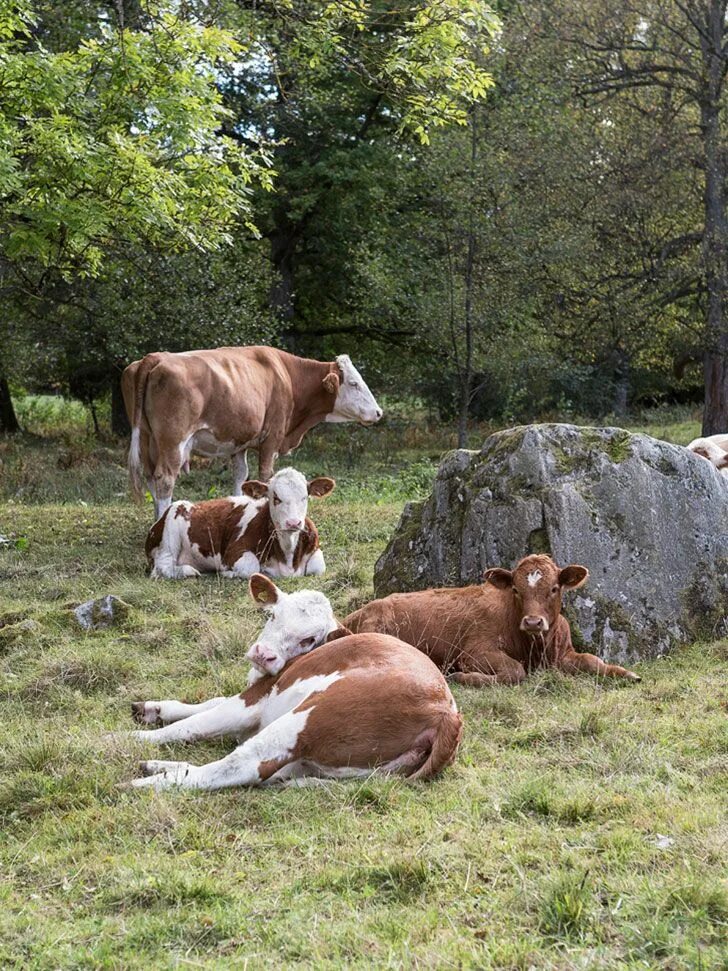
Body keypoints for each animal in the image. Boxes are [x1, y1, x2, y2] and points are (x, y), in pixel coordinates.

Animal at [121, 346, 382, 520]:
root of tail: (154, 357)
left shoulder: (240, 442)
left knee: (150, 476)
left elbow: (241, 476)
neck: (288, 376)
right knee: (165, 479)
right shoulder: (272, 438)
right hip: (173, 442)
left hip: (147, 439)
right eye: (354, 383)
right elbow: (265, 478)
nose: (379, 412)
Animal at [126, 576, 460, 788]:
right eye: (272, 615)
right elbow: (206, 705)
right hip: (329, 765)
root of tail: (445, 711)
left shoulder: (252, 702)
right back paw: (158, 766)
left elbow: (193, 724)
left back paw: (147, 782)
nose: (263, 654)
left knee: (238, 766)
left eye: (309, 639)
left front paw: (127, 738)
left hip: (308, 719)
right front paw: (152, 709)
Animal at [144, 468, 336, 580]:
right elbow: (250, 567)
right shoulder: (233, 552)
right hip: (170, 532)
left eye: (305, 497)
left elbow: (318, 567)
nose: (294, 522)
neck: (287, 556)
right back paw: (189, 571)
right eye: (275, 498)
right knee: (162, 568)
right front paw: (227, 573)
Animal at [344, 560, 640, 688]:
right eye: (516, 590)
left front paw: (625, 673)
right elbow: (514, 671)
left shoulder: (563, 653)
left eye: (554, 588)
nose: (533, 621)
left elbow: (592, 660)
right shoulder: (474, 653)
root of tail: (358, 613)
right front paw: (463, 678)